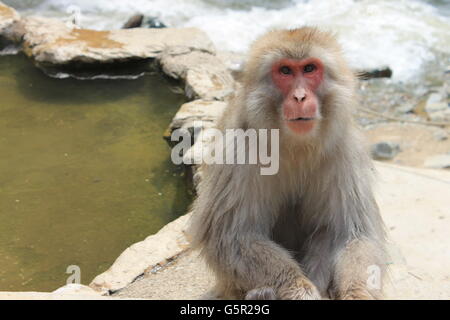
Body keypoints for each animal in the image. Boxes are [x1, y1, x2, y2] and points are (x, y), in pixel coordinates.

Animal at [188, 27, 388, 300]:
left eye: (309, 69)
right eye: (285, 71)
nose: (300, 97)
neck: (296, 144)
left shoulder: (346, 150)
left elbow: (354, 235)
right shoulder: (238, 150)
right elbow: (232, 236)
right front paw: (301, 291)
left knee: (327, 232)